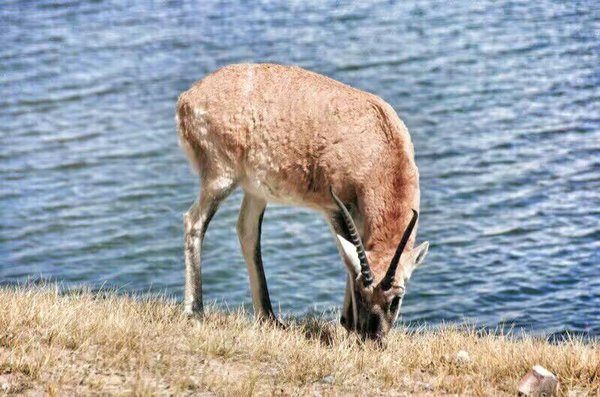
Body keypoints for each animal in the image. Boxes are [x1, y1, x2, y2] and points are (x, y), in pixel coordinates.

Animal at [176, 62, 428, 340]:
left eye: (396, 299)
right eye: (361, 293)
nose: (373, 338)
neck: (376, 148)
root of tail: (188, 97)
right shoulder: (334, 208)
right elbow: (348, 257)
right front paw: (347, 323)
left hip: (256, 191)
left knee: (247, 231)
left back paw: (270, 318)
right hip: (220, 178)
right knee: (194, 222)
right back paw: (195, 312)